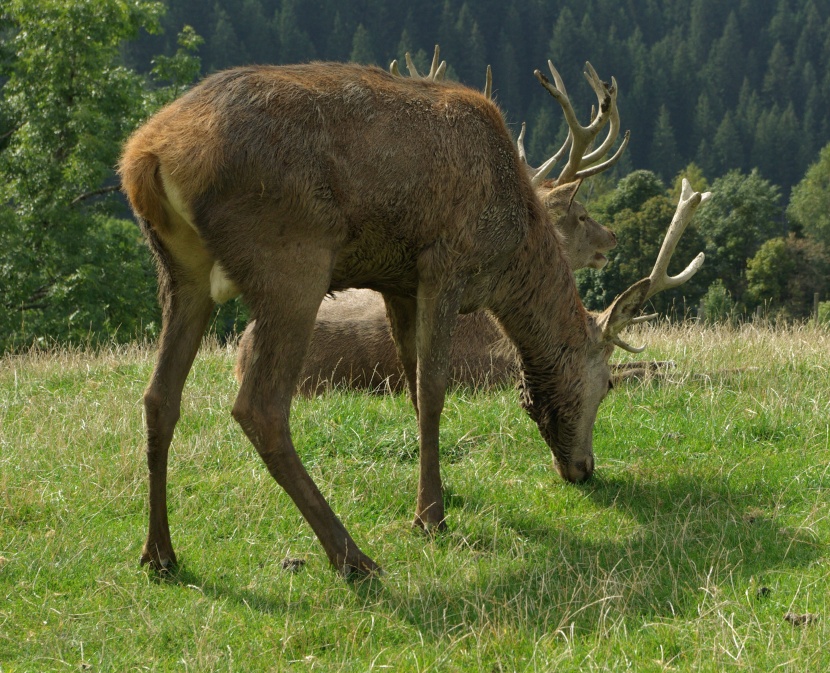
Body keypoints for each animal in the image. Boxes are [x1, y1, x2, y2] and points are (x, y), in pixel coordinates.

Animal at [118, 55, 708, 576]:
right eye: (606, 385)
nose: (583, 469)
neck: (509, 253)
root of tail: (144, 157)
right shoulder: (445, 263)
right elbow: (434, 389)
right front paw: (430, 518)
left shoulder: (396, 282)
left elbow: (411, 386)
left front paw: (439, 492)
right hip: (292, 258)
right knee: (259, 407)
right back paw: (352, 558)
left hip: (181, 272)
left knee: (158, 396)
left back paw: (159, 554)